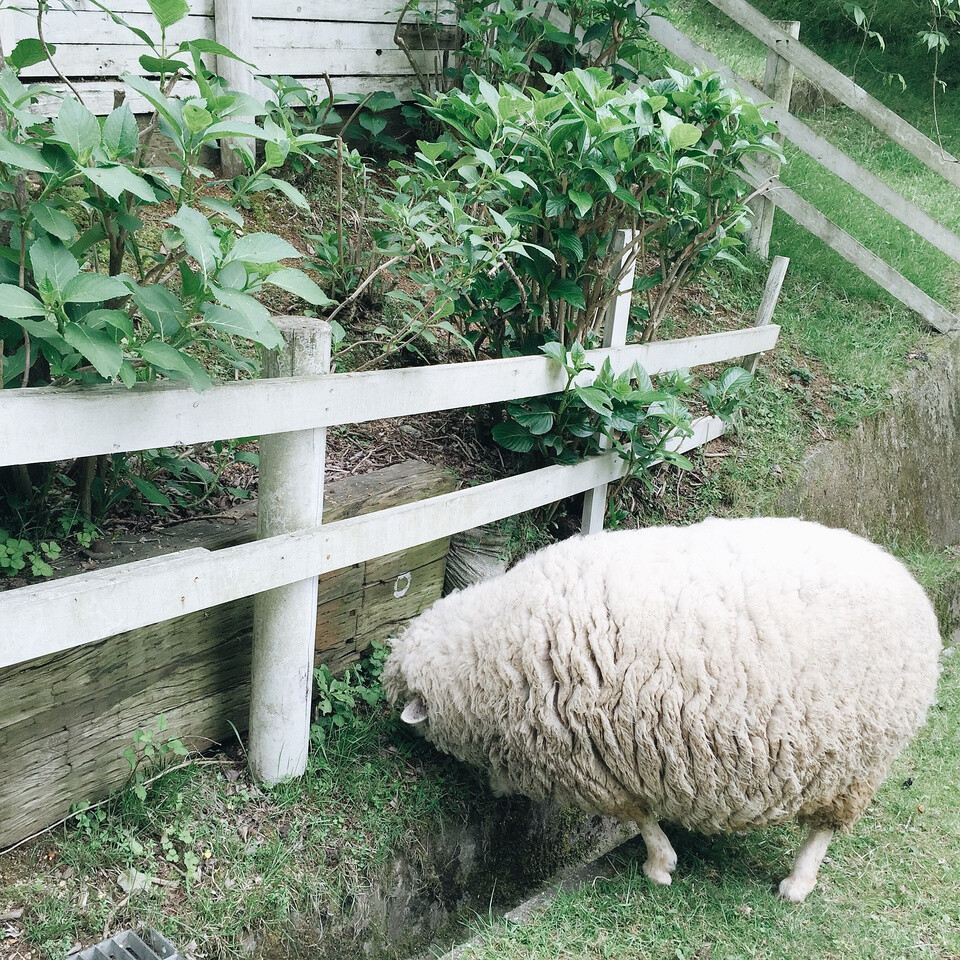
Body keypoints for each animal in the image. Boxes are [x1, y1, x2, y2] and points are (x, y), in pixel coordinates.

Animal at [382, 516, 936, 900]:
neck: (496, 652)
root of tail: (914, 591)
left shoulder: (601, 763)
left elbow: (640, 817)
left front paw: (659, 867)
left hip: (857, 759)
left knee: (823, 829)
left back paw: (797, 884)